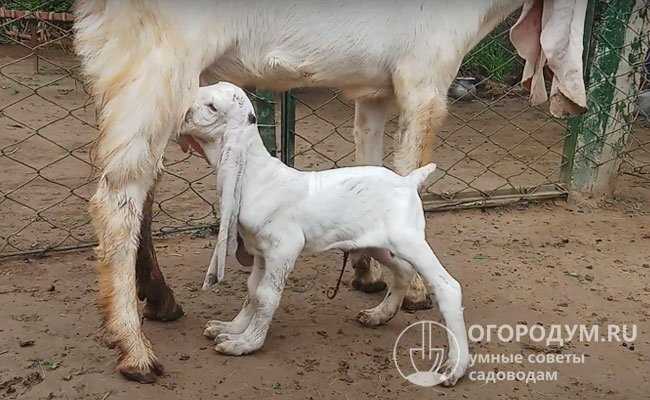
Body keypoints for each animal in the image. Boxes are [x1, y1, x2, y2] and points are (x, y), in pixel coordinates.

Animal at [72, 0, 584, 382]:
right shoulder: (424, 78)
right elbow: (410, 163)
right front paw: (413, 290)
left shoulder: (375, 92)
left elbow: (372, 155)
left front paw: (367, 272)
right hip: (155, 64)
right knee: (118, 196)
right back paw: (134, 349)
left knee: (143, 188)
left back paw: (161, 302)